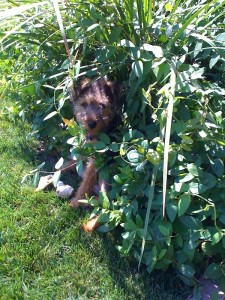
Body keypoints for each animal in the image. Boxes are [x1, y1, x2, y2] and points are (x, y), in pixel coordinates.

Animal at [68, 77, 122, 209]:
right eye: (84, 104)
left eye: (102, 105)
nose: (91, 123)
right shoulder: (85, 150)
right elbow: (71, 162)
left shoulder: (97, 159)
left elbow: (86, 182)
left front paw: (77, 199)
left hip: (107, 175)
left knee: (106, 200)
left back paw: (84, 202)